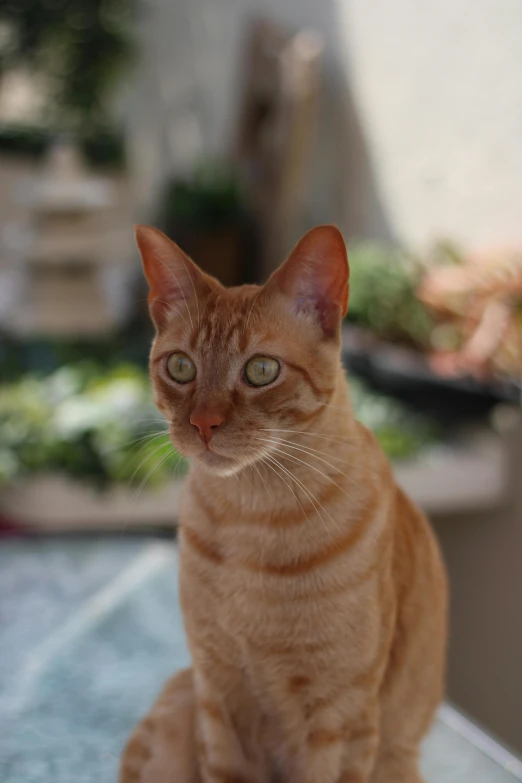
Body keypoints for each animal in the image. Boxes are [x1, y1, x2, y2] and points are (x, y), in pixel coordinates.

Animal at [120, 225, 444, 783]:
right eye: (181, 367)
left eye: (261, 370)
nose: (203, 423)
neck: (251, 517)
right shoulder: (218, 697)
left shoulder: (339, 718)